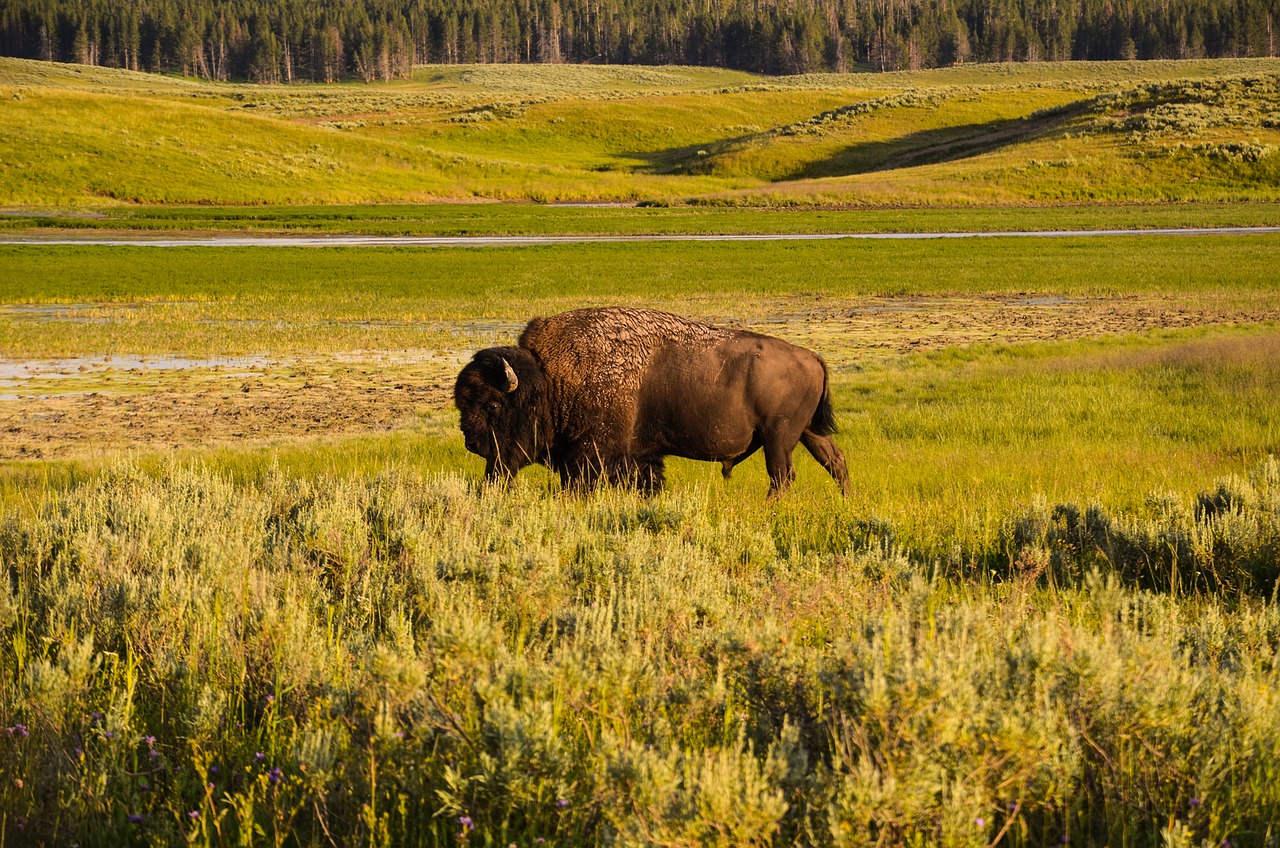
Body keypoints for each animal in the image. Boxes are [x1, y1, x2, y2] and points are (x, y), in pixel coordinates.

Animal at [453, 308, 849, 499]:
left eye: (493, 406)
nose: (471, 443)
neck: (549, 378)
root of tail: (813, 357)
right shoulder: (638, 457)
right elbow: (647, 482)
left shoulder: (591, 455)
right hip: (806, 433)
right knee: (834, 461)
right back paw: (845, 499)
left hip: (778, 438)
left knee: (782, 476)